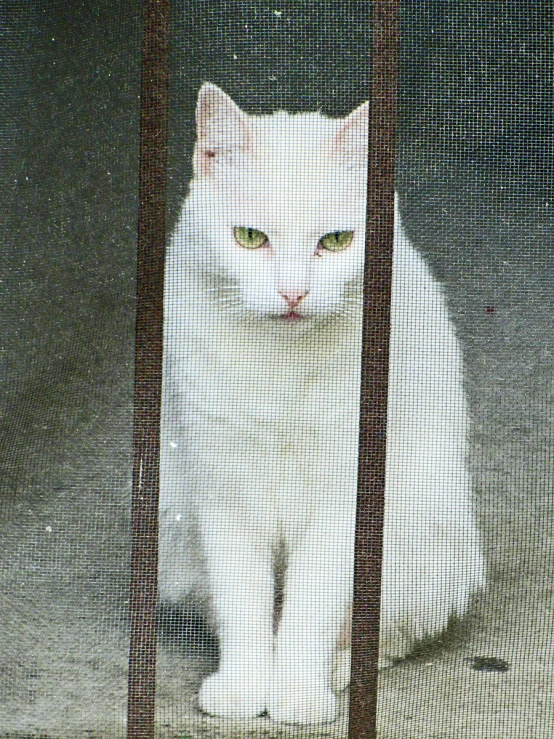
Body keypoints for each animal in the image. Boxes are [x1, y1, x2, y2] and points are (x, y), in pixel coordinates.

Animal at [158, 84, 484, 724]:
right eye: (250, 237)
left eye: (336, 241)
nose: (293, 293)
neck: (282, 367)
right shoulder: (223, 489)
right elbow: (241, 598)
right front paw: (245, 689)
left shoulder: (344, 499)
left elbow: (311, 607)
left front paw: (297, 694)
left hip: (427, 533)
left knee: (385, 632)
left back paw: (339, 670)